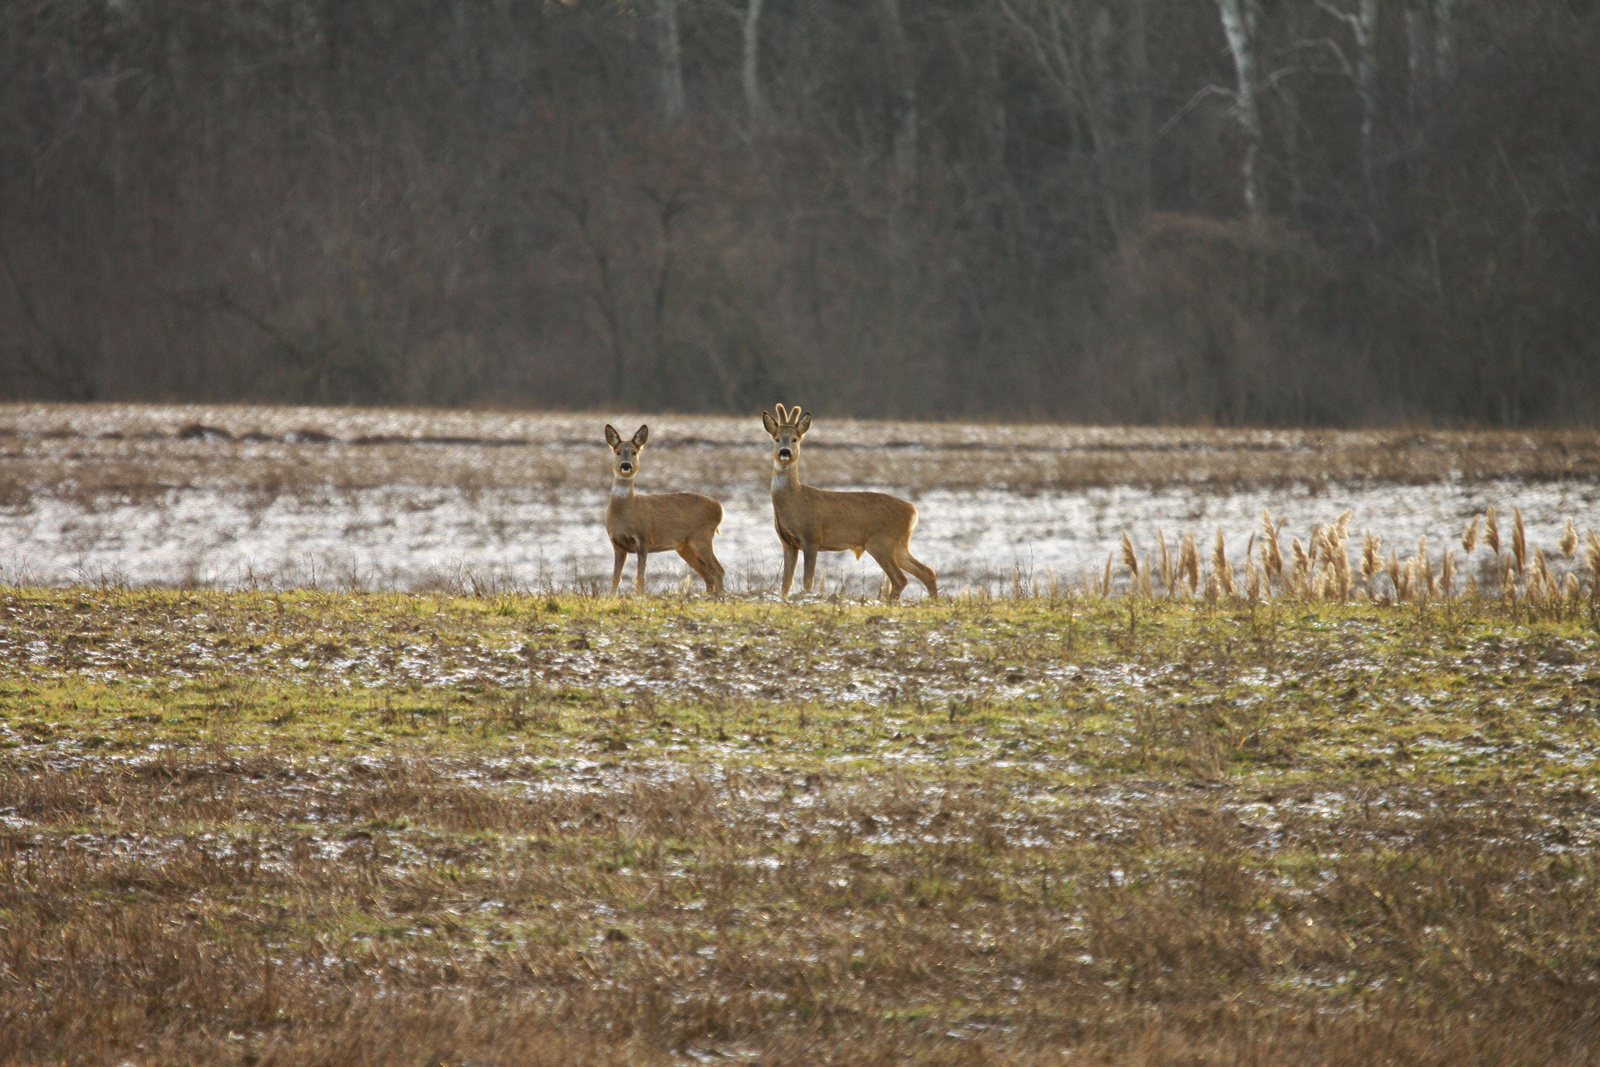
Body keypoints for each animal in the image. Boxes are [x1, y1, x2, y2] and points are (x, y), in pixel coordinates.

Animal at [601, 422, 726, 598]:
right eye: (617, 451)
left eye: (634, 452)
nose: (626, 465)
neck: (626, 512)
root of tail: (719, 507)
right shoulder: (617, 544)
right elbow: (615, 577)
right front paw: (611, 597)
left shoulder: (644, 538)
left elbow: (640, 576)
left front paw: (639, 595)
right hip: (685, 546)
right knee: (708, 574)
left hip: (702, 536)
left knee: (718, 570)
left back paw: (719, 596)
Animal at [761, 404, 934, 601]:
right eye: (776, 439)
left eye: (794, 439)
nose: (785, 452)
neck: (794, 499)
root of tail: (913, 511)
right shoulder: (787, 543)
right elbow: (786, 583)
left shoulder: (812, 536)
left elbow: (807, 580)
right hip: (899, 544)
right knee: (927, 572)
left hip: (882, 542)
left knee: (900, 579)